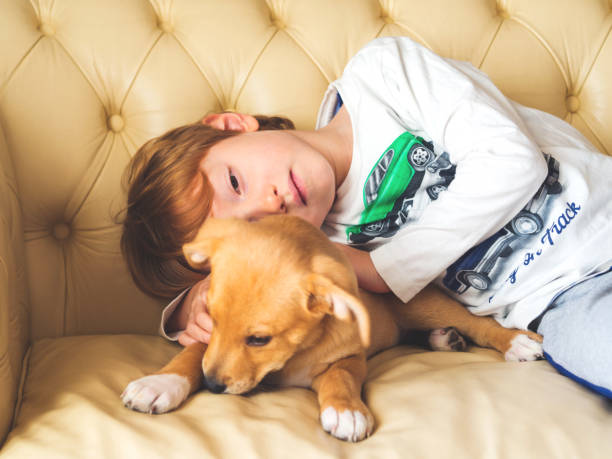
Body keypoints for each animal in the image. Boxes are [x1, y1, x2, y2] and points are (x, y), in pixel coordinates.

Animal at [122, 217, 544, 444]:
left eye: (259, 339)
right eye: (210, 317)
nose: (211, 386)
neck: (293, 355)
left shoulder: (350, 357)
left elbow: (339, 377)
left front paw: (345, 411)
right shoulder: (206, 341)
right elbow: (191, 353)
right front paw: (160, 383)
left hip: (423, 304)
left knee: (479, 324)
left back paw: (516, 341)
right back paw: (444, 338)